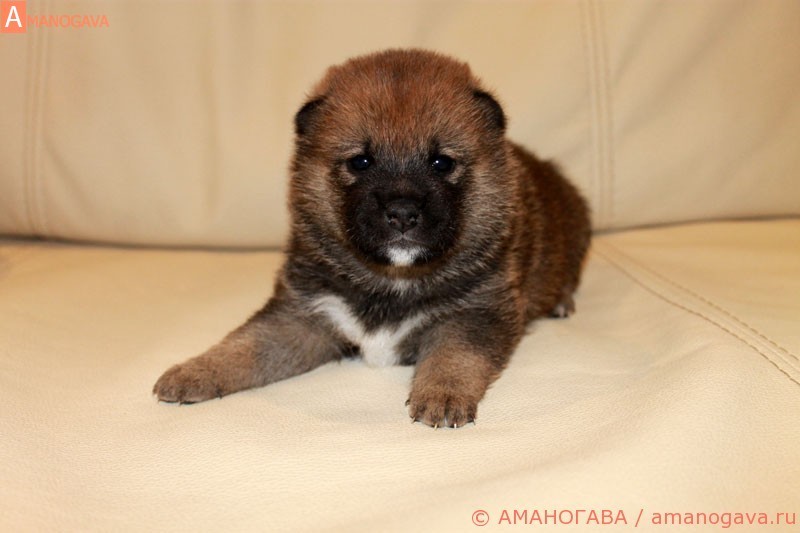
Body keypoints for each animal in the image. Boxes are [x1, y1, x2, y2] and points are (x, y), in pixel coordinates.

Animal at [153, 49, 591, 428]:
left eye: (441, 162)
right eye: (360, 161)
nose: (402, 212)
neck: (392, 277)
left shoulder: (475, 314)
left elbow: (456, 357)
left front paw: (442, 395)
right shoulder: (303, 315)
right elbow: (245, 346)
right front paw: (194, 371)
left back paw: (562, 303)